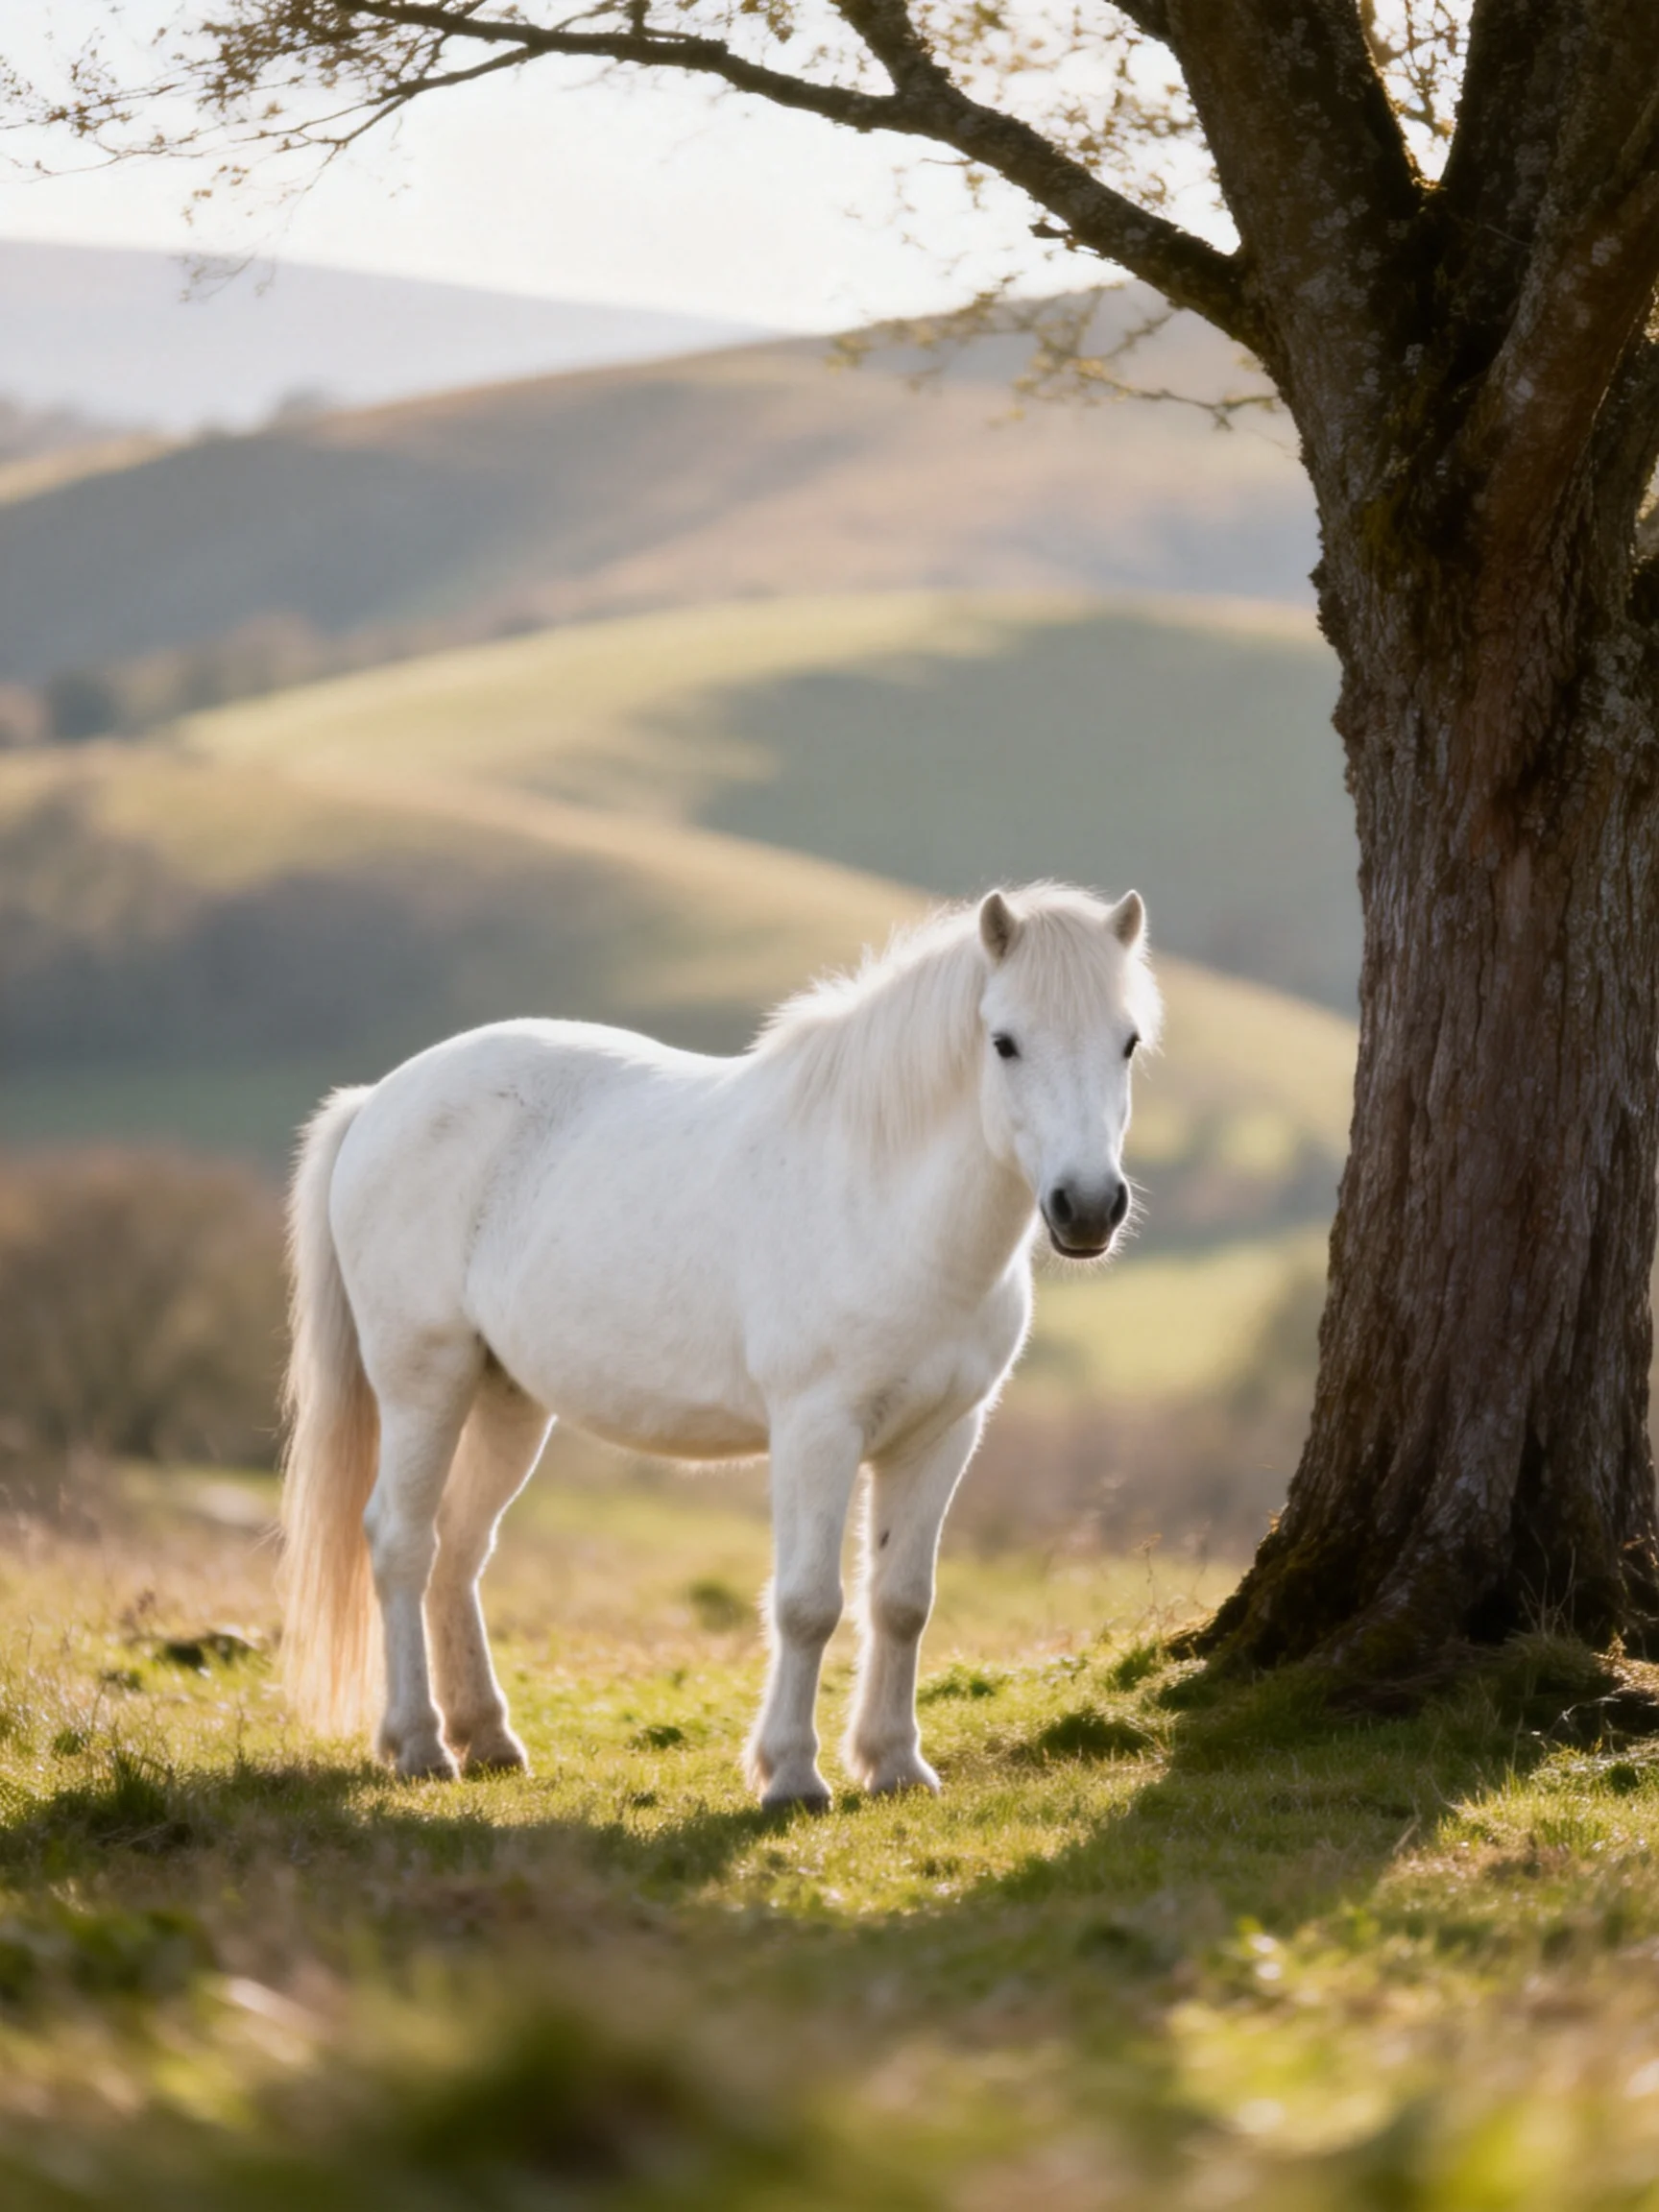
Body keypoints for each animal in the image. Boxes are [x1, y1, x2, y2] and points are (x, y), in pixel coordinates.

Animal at [278, 881, 1160, 1805]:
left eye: (1128, 1042)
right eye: (1005, 1043)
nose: (1087, 1208)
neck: (881, 1197)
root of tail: (380, 1099)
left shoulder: (940, 1436)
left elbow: (901, 1601)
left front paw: (894, 1765)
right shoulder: (817, 1430)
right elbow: (807, 1603)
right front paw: (792, 1776)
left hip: (507, 1399)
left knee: (459, 1547)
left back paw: (487, 1737)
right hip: (425, 1380)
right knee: (401, 1542)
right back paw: (419, 1744)